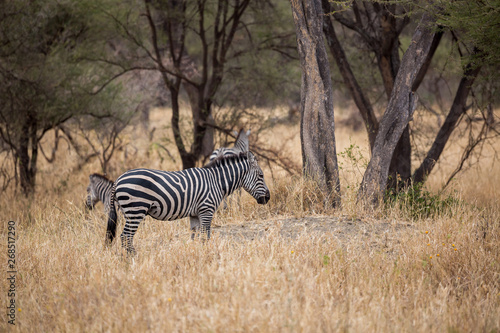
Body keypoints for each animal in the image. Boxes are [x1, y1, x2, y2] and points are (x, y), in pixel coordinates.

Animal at [105, 149, 270, 253]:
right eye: (261, 176)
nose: (268, 198)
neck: (216, 182)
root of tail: (118, 179)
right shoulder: (206, 210)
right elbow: (205, 236)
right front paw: (206, 254)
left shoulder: (195, 214)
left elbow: (194, 236)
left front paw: (194, 252)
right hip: (136, 210)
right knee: (126, 236)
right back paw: (134, 258)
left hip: (127, 212)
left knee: (125, 237)